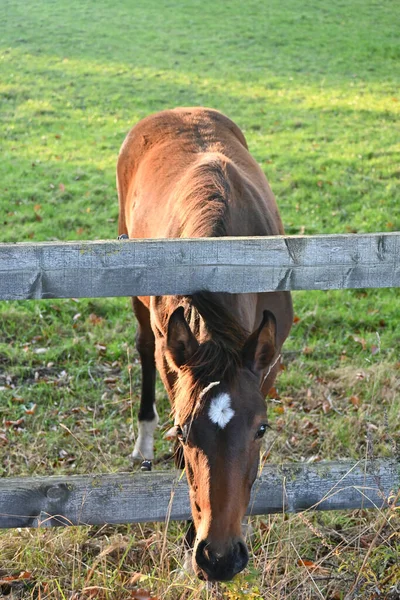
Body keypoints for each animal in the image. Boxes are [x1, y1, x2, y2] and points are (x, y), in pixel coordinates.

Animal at [117, 108, 292, 580]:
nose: (220, 557)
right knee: (142, 348)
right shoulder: (172, 358)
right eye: (182, 430)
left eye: (261, 429)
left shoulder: (267, 361)